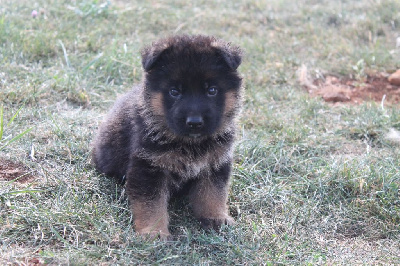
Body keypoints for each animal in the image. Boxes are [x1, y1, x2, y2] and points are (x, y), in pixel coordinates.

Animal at [93, 35, 244, 239]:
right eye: (174, 92)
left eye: (211, 90)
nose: (194, 122)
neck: (190, 144)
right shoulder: (149, 167)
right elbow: (151, 204)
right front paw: (154, 231)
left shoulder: (215, 163)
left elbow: (213, 194)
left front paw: (216, 218)